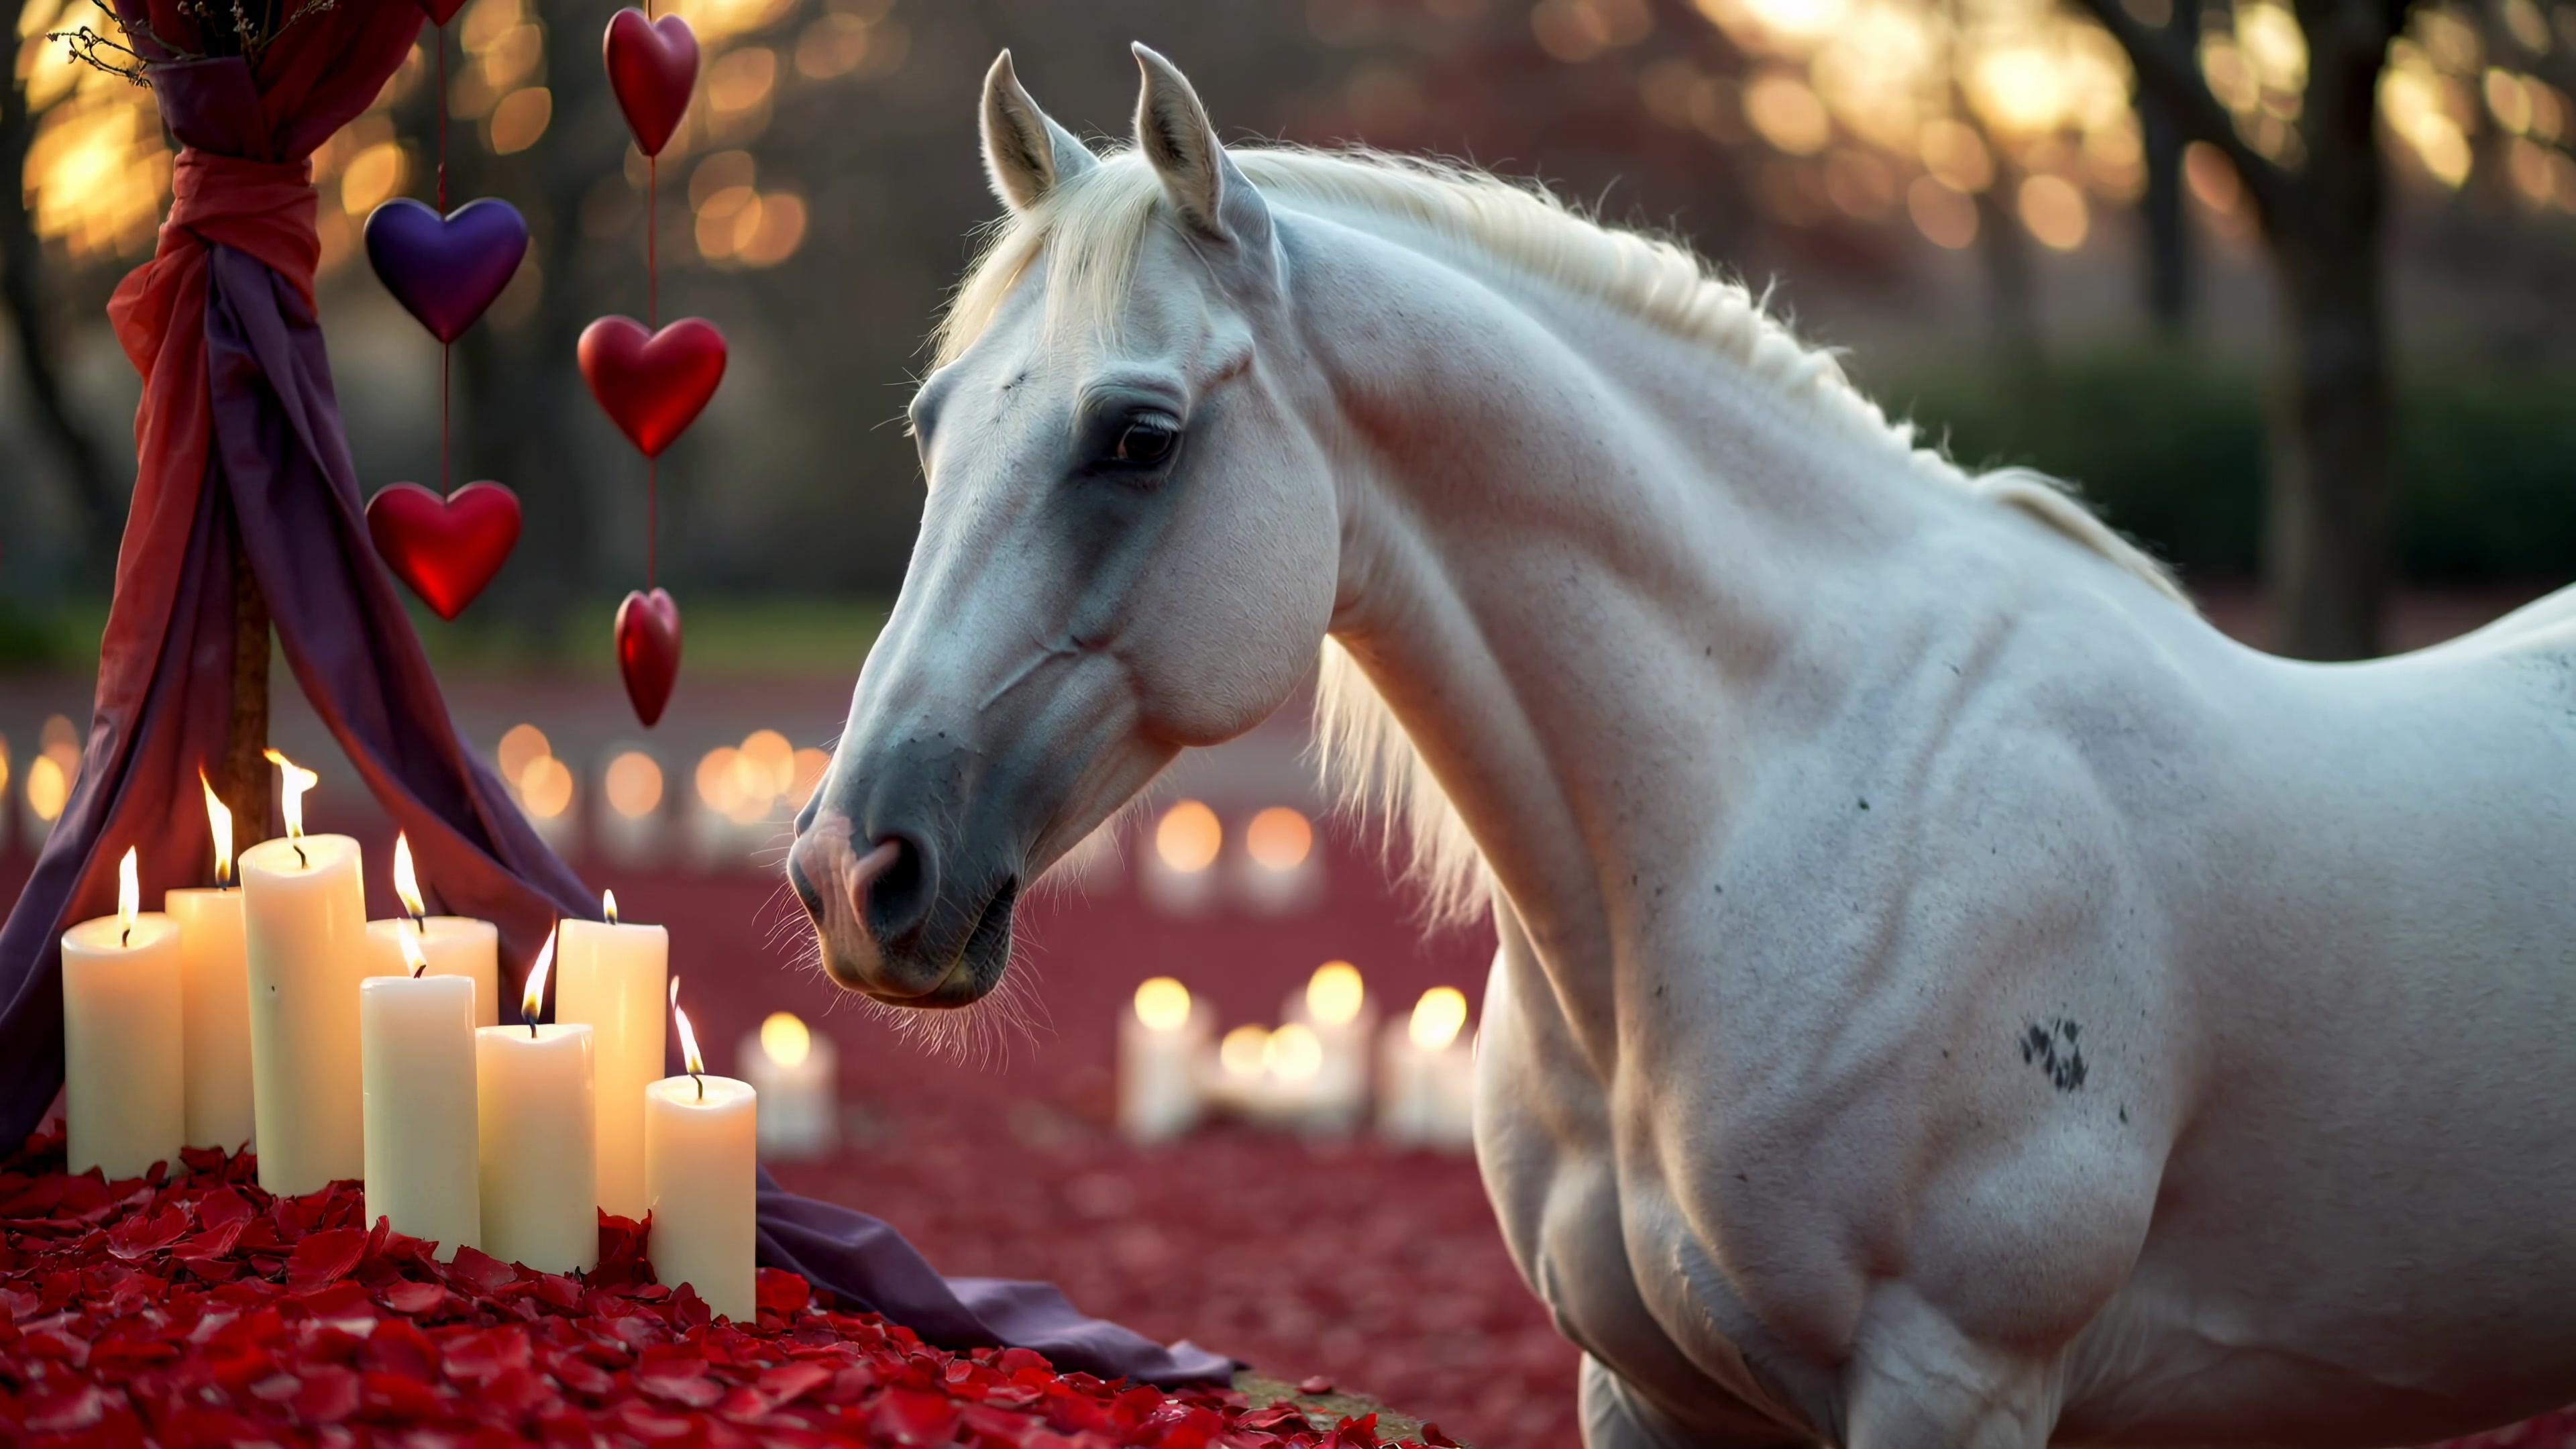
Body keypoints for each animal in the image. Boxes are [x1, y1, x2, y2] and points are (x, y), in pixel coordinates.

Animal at [784, 43, 2576, 1449]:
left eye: (1138, 438)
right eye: (933, 425)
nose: (855, 868)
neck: (1788, 818)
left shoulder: (1956, 1381)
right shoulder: (1643, 1389)